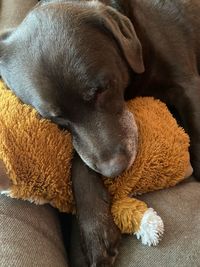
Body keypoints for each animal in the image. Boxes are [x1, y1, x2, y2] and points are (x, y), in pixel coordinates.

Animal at [0, 1, 200, 266]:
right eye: (56, 118)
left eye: (101, 89)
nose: (113, 170)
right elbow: (80, 159)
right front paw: (95, 230)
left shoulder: (188, 86)